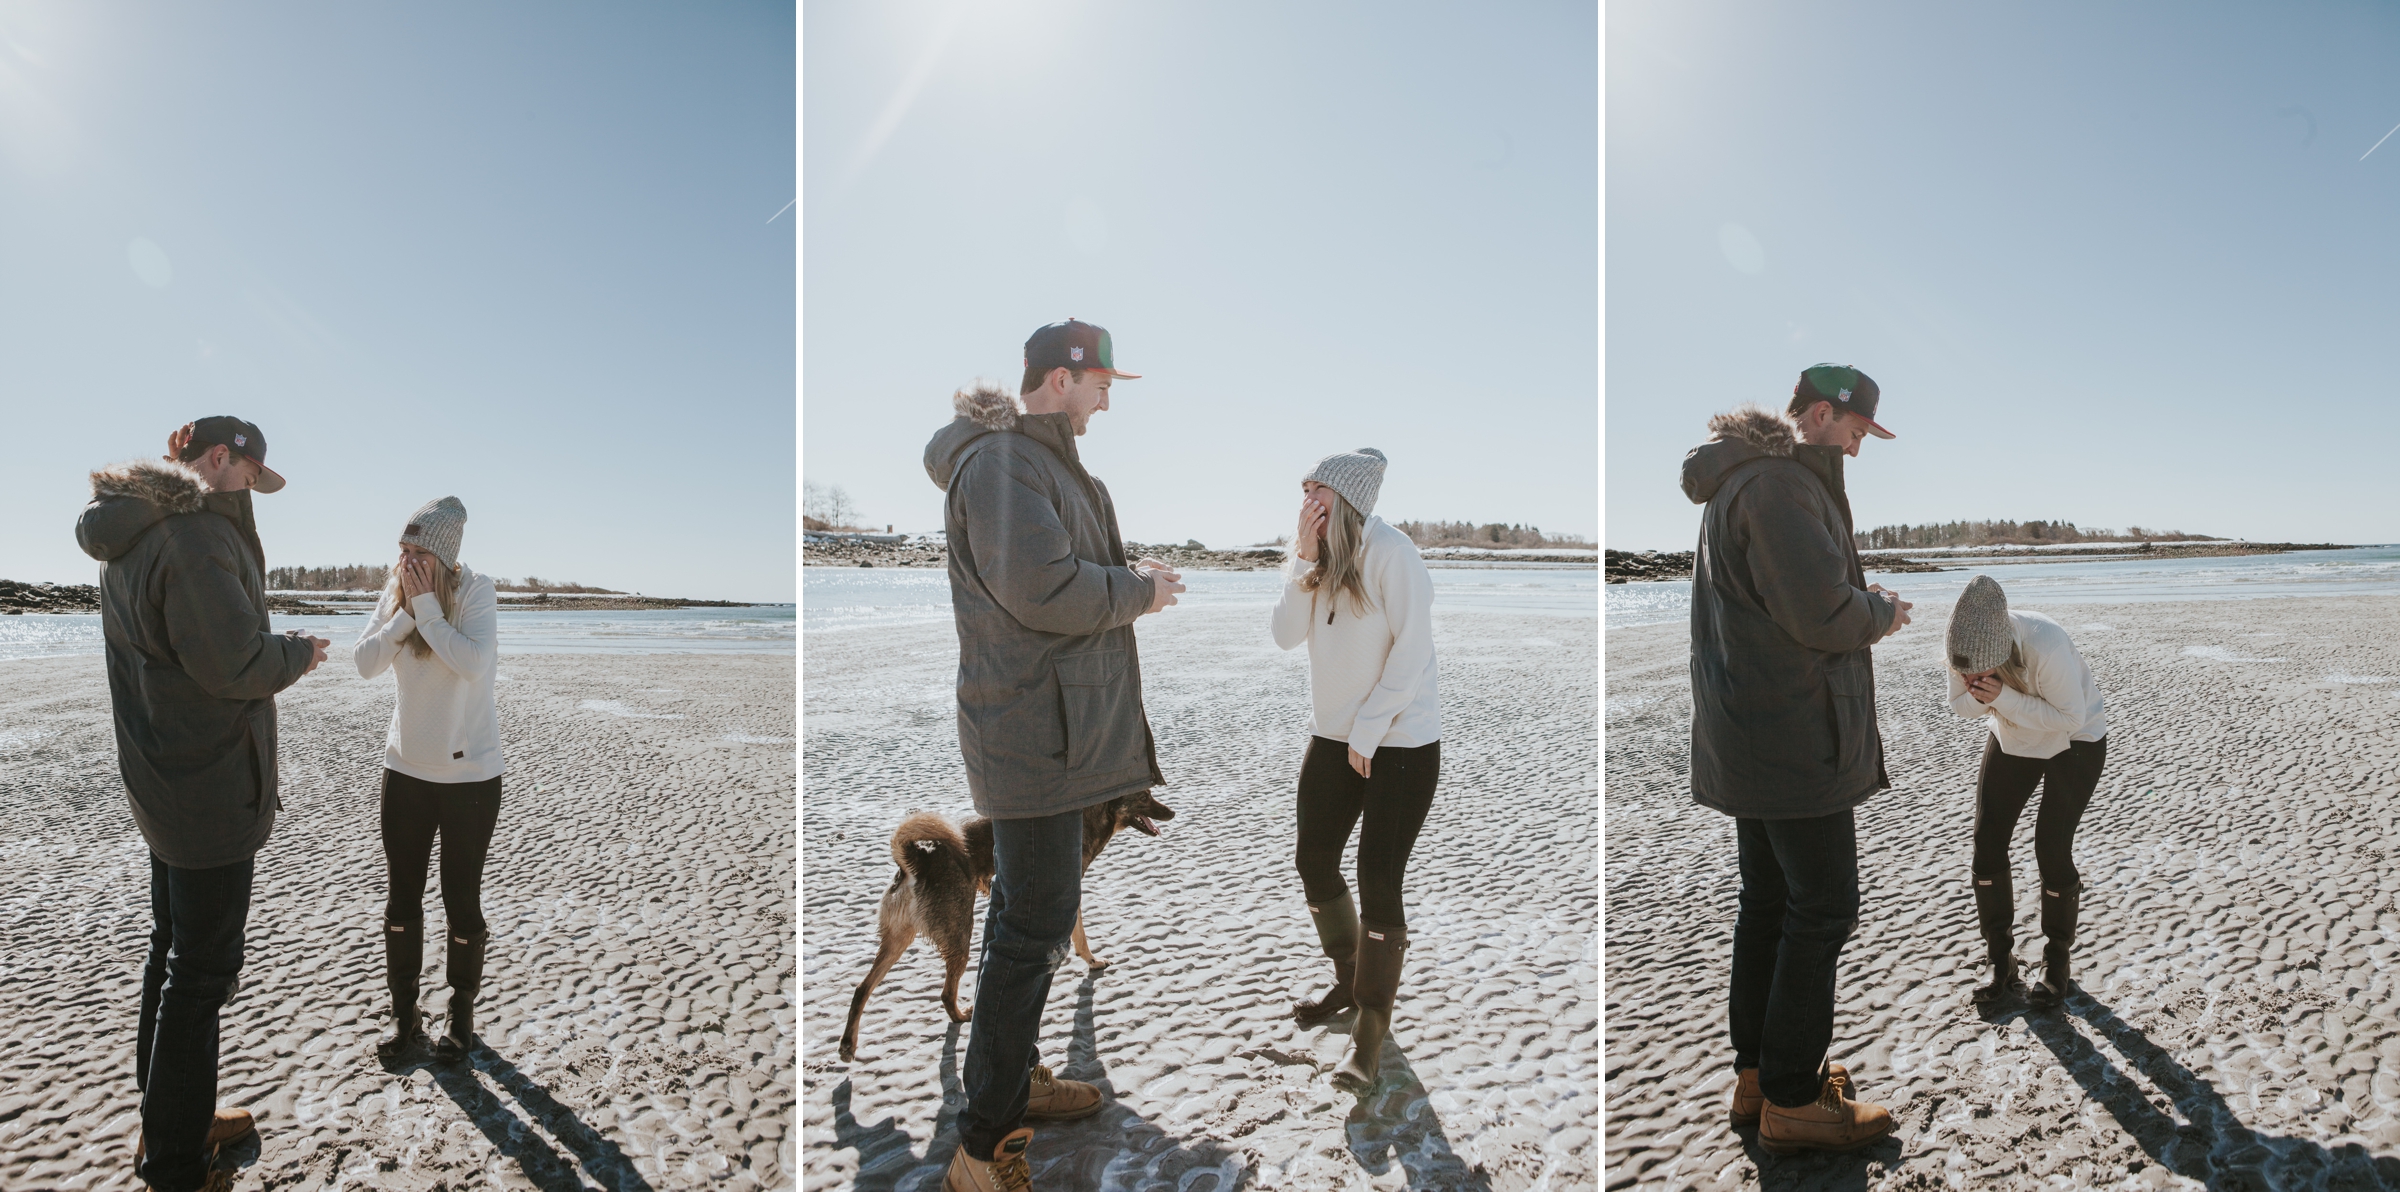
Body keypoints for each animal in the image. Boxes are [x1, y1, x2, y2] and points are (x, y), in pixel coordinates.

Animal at [840, 791, 1176, 1060]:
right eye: (1144, 796)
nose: (1172, 812)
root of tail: (917, 859)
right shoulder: (1066, 898)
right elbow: (1080, 937)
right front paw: (1091, 961)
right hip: (959, 933)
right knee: (946, 993)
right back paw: (960, 1015)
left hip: (897, 940)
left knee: (861, 988)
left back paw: (847, 1045)